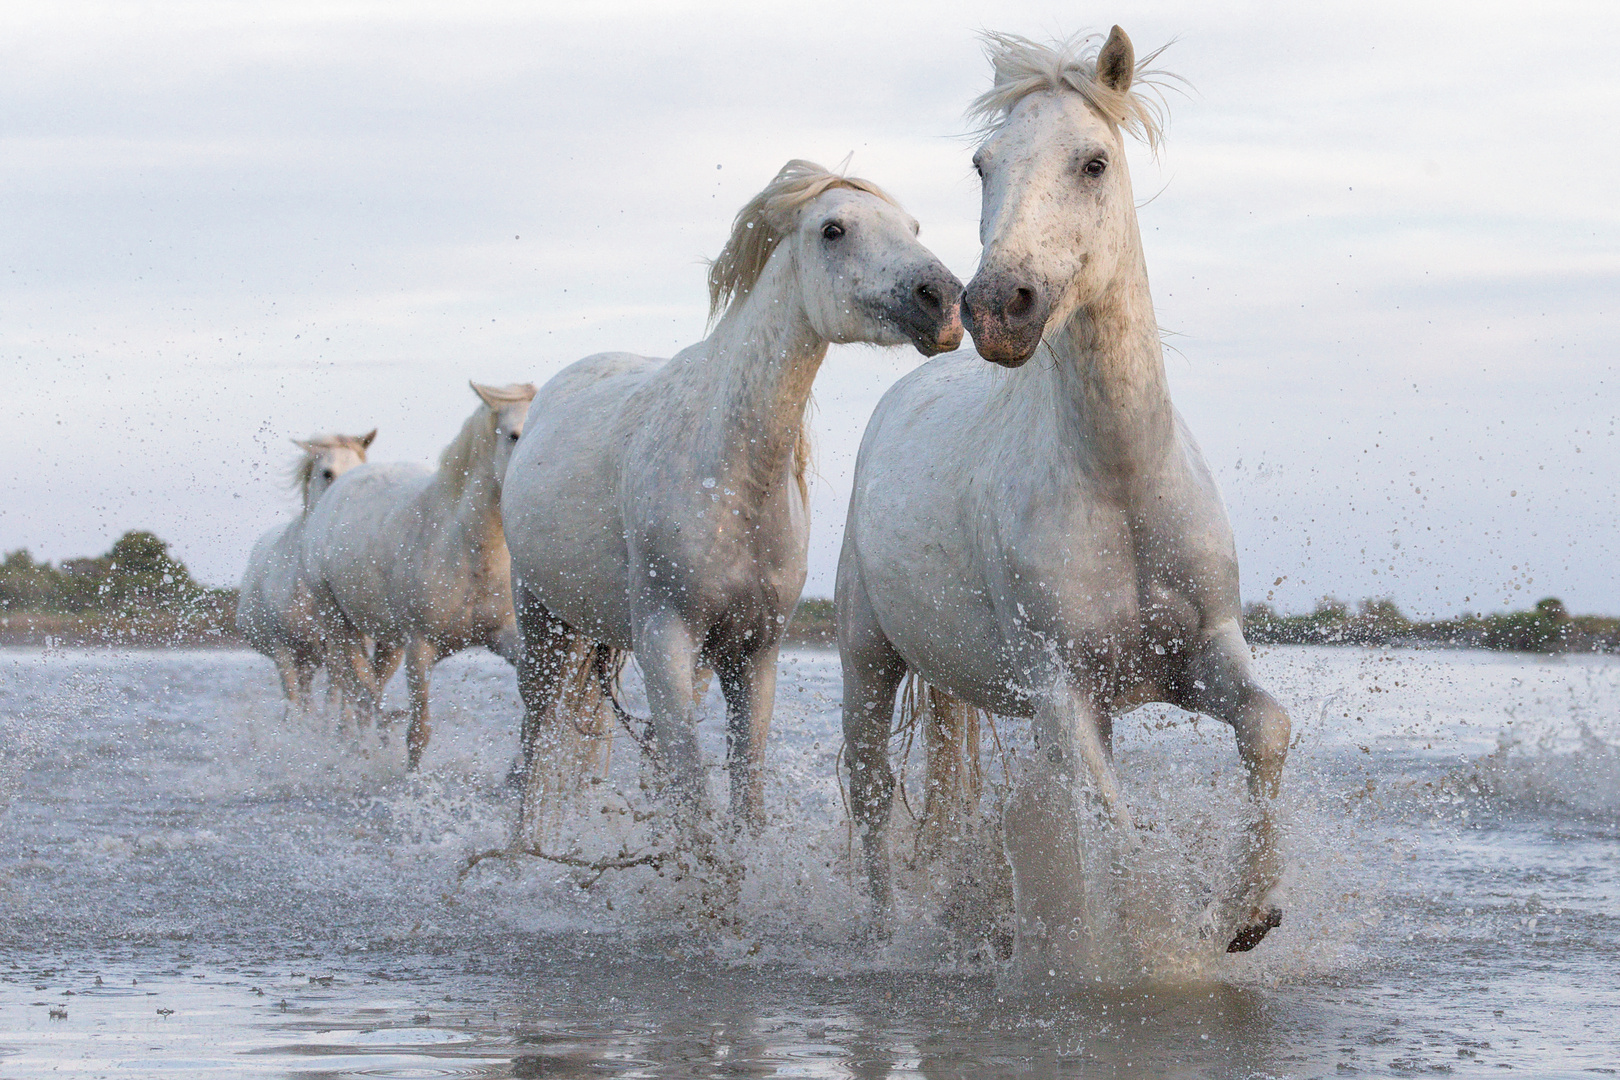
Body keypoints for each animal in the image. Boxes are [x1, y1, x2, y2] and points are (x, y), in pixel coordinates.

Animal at [236, 430, 374, 709]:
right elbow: (296, 705)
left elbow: (336, 701)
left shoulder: (336, 648)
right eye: (327, 473)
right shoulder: (284, 650)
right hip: (302, 658)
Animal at [301, 380, 534, 767]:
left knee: (369, 688)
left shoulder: (502, 635)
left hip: (386, 640)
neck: (465, 548)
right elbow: (418, 733)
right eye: (514, 435)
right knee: (358, 690)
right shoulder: (420, 647)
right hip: (338, 626)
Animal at [505, 160, 959, 835]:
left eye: (913, 226)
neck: (729, 475)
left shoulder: (754, 653)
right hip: (541, 625)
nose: (945, 302)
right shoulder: (665, 641)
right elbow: (694, 796)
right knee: (531, 748)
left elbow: (746, 794)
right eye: (833, 229)